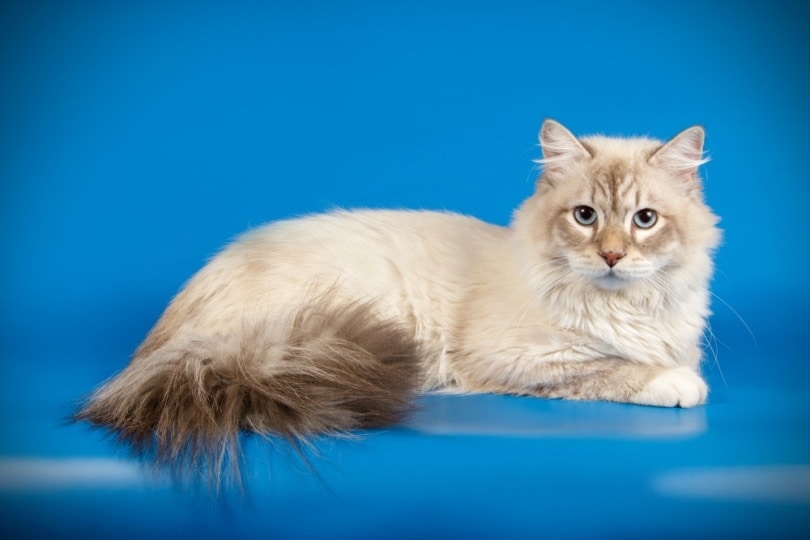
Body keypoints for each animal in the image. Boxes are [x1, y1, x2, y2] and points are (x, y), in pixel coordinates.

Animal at [76, 121, 720, 486]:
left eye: (644, 221)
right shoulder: (523, 360)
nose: (611, 256)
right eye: (585, 216)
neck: (624, 305)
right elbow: (612, 367)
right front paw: (676, 383)